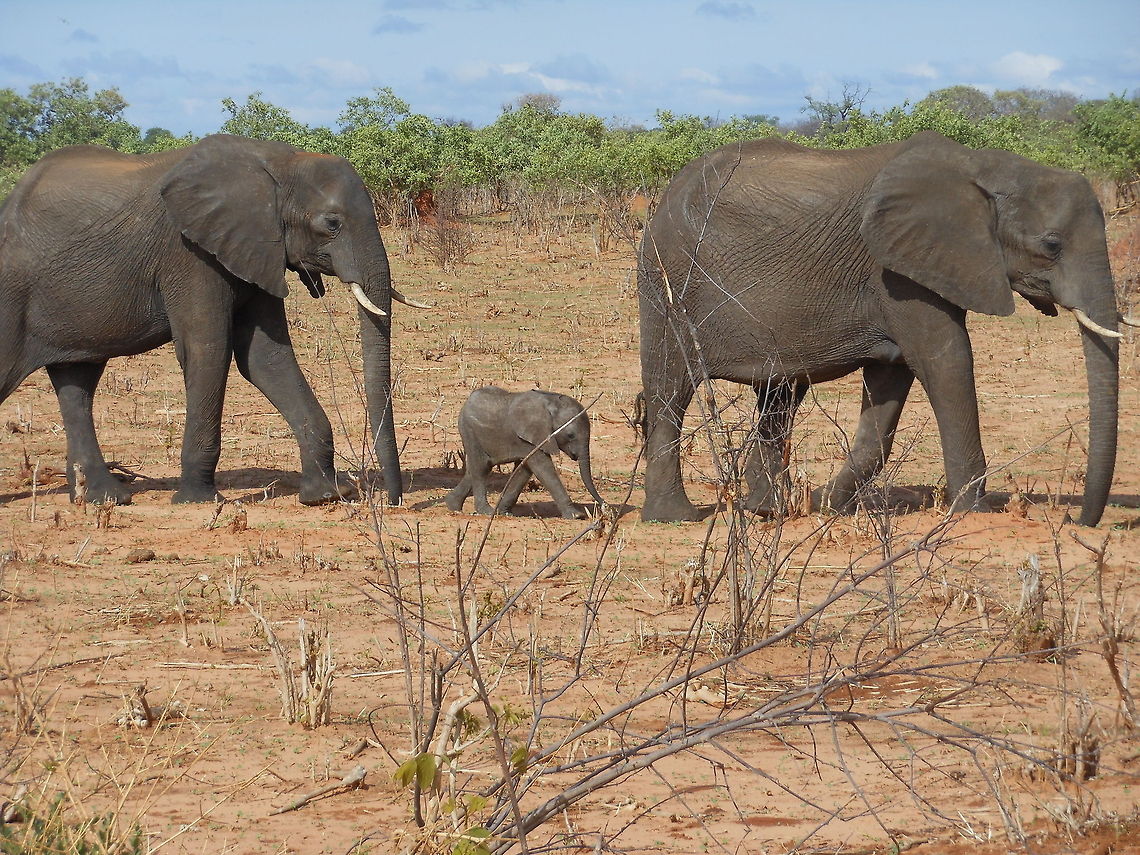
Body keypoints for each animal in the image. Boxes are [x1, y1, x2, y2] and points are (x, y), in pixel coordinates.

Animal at [0, 134, 428, 506]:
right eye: (332, 223)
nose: (394, 501)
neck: (277, 163)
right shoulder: (190, 253)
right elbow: (209, 350)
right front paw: (197, 500)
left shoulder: (255, 250)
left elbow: (264, 358)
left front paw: (326, 496)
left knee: (77, 385)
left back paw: (105, 499)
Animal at [445, 387, 606, 519]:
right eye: (570, 435)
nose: (604, 504)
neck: (551, 404)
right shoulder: (531, 437)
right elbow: (542, 467)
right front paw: (576, 515)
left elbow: (524, 469)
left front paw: (504, 512)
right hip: (469, 430)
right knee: (480, 469)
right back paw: (486, 512)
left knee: (477, 468)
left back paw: (453, 506)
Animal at [638, 130, 1128, 525]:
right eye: (1052, 245)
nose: (1076, 521)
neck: (980, 167)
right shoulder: (895, 271)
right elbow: (946, 360)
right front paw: (972, 513)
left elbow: (892, 379)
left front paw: (827, 505)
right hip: (667, 273)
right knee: (670, 388)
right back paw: (675, 518)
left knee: (779, 395)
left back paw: (766, 511)